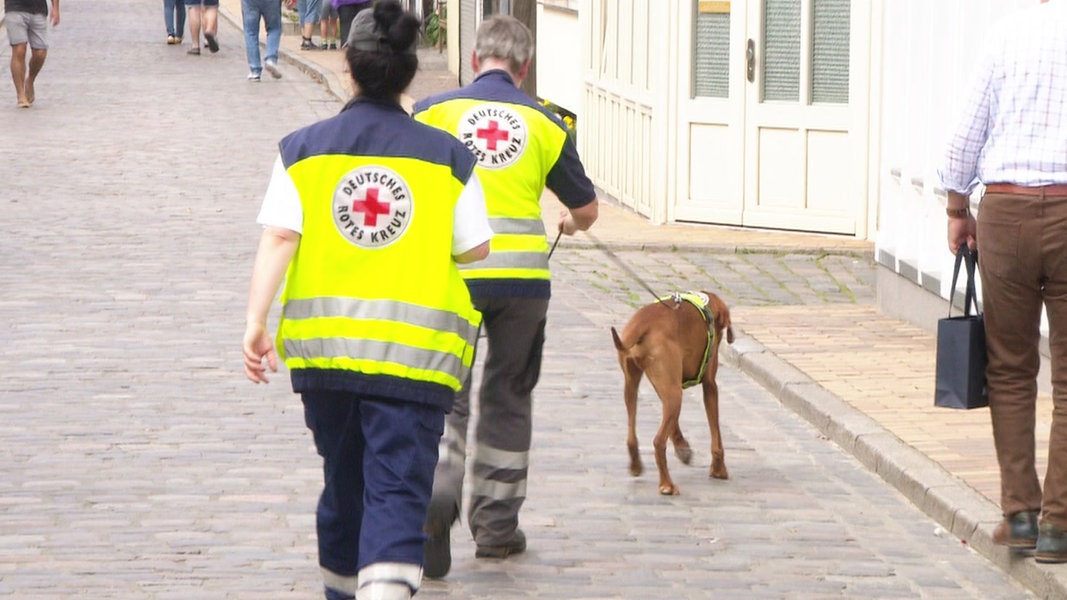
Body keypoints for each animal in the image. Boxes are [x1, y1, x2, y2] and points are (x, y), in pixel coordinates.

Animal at [610, 290, 734, 495]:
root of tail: (642, 325)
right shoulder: (710, 386)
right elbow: (716, 435)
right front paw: (719, 469)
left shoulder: (666, 387)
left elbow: (674, 425)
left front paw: (683, 448)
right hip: (675, 394)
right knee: (658, 442)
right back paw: (667, 485)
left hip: (635, 385)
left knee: (631, 436)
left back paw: (636, 465)